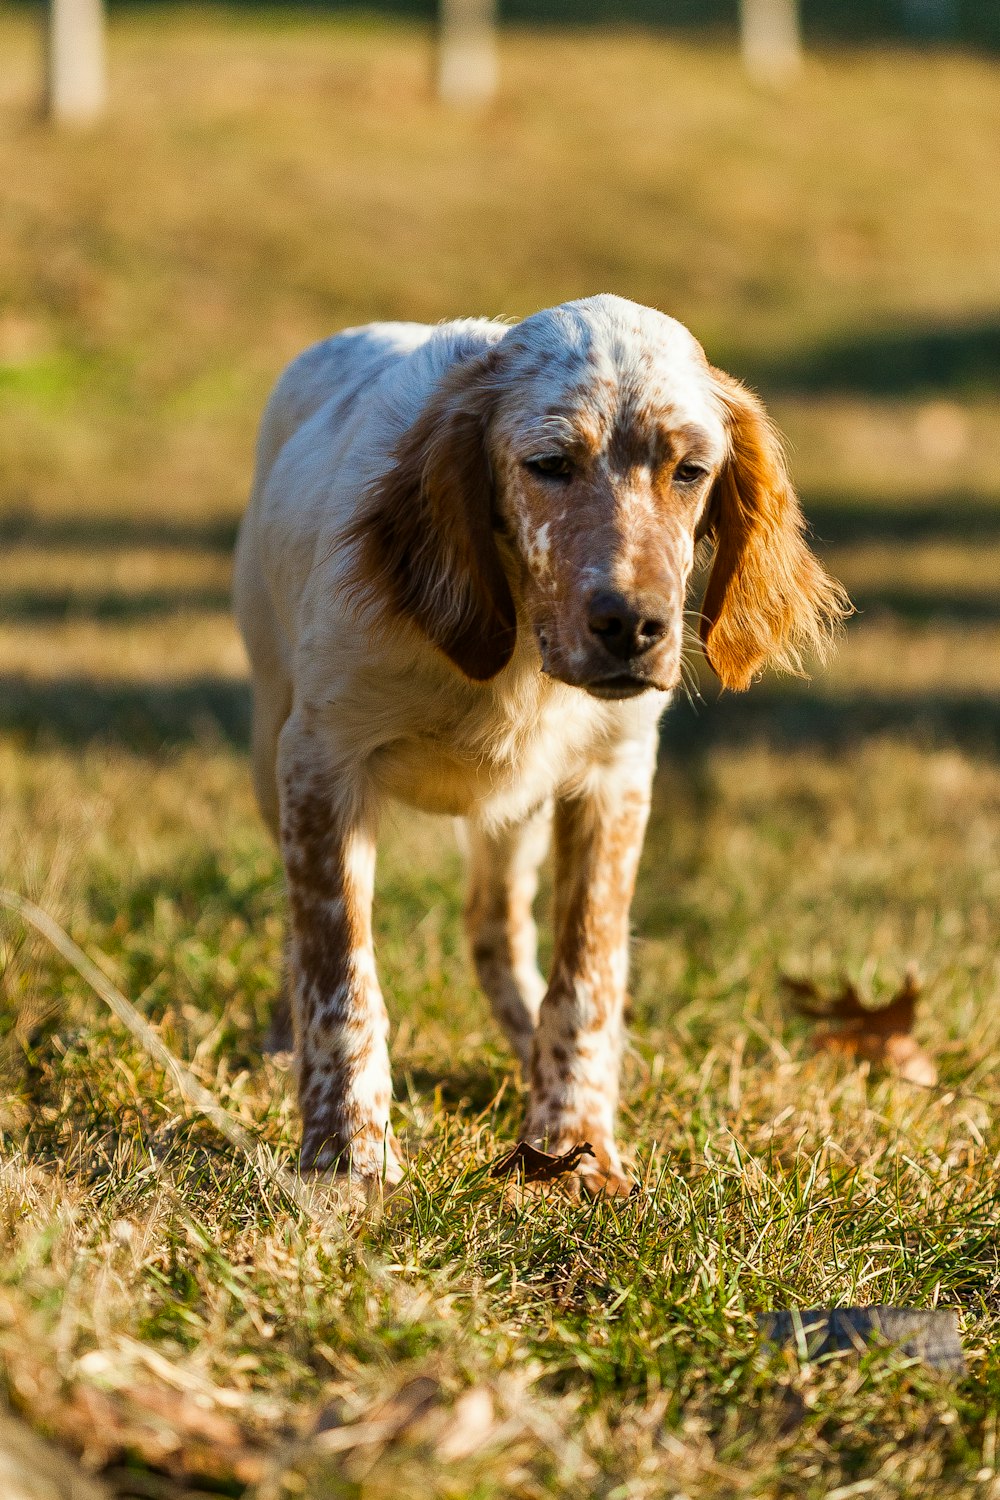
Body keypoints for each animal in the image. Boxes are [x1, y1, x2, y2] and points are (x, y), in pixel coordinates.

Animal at [232, 292, 845, 1194]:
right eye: (550, 464)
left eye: (690, 471)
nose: (633, 626)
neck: (520, 650)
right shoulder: (321, 761)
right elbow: (340, 969)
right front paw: (346, 1154)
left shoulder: (615, 775)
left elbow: (587, 972)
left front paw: (575, 1143)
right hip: (269, 734)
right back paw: (286, 1040)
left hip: (514, 809)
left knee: (495, 924)